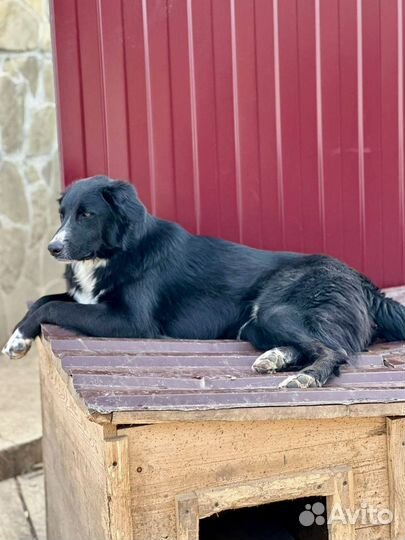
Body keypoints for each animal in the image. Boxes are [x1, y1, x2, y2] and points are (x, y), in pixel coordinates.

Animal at [3, 177, 404, 388]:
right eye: (63, 214)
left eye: (87, 215)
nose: (53, 248)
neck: (118, 250)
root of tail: (364, 283)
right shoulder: (89, 299)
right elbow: (45, 300)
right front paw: (17, 337)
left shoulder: (130, 321)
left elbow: (53, 306)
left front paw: (16, 341)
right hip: (255, 325)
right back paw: (274, 359)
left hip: (275, 309)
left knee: (335, 351)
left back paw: (304, 378)